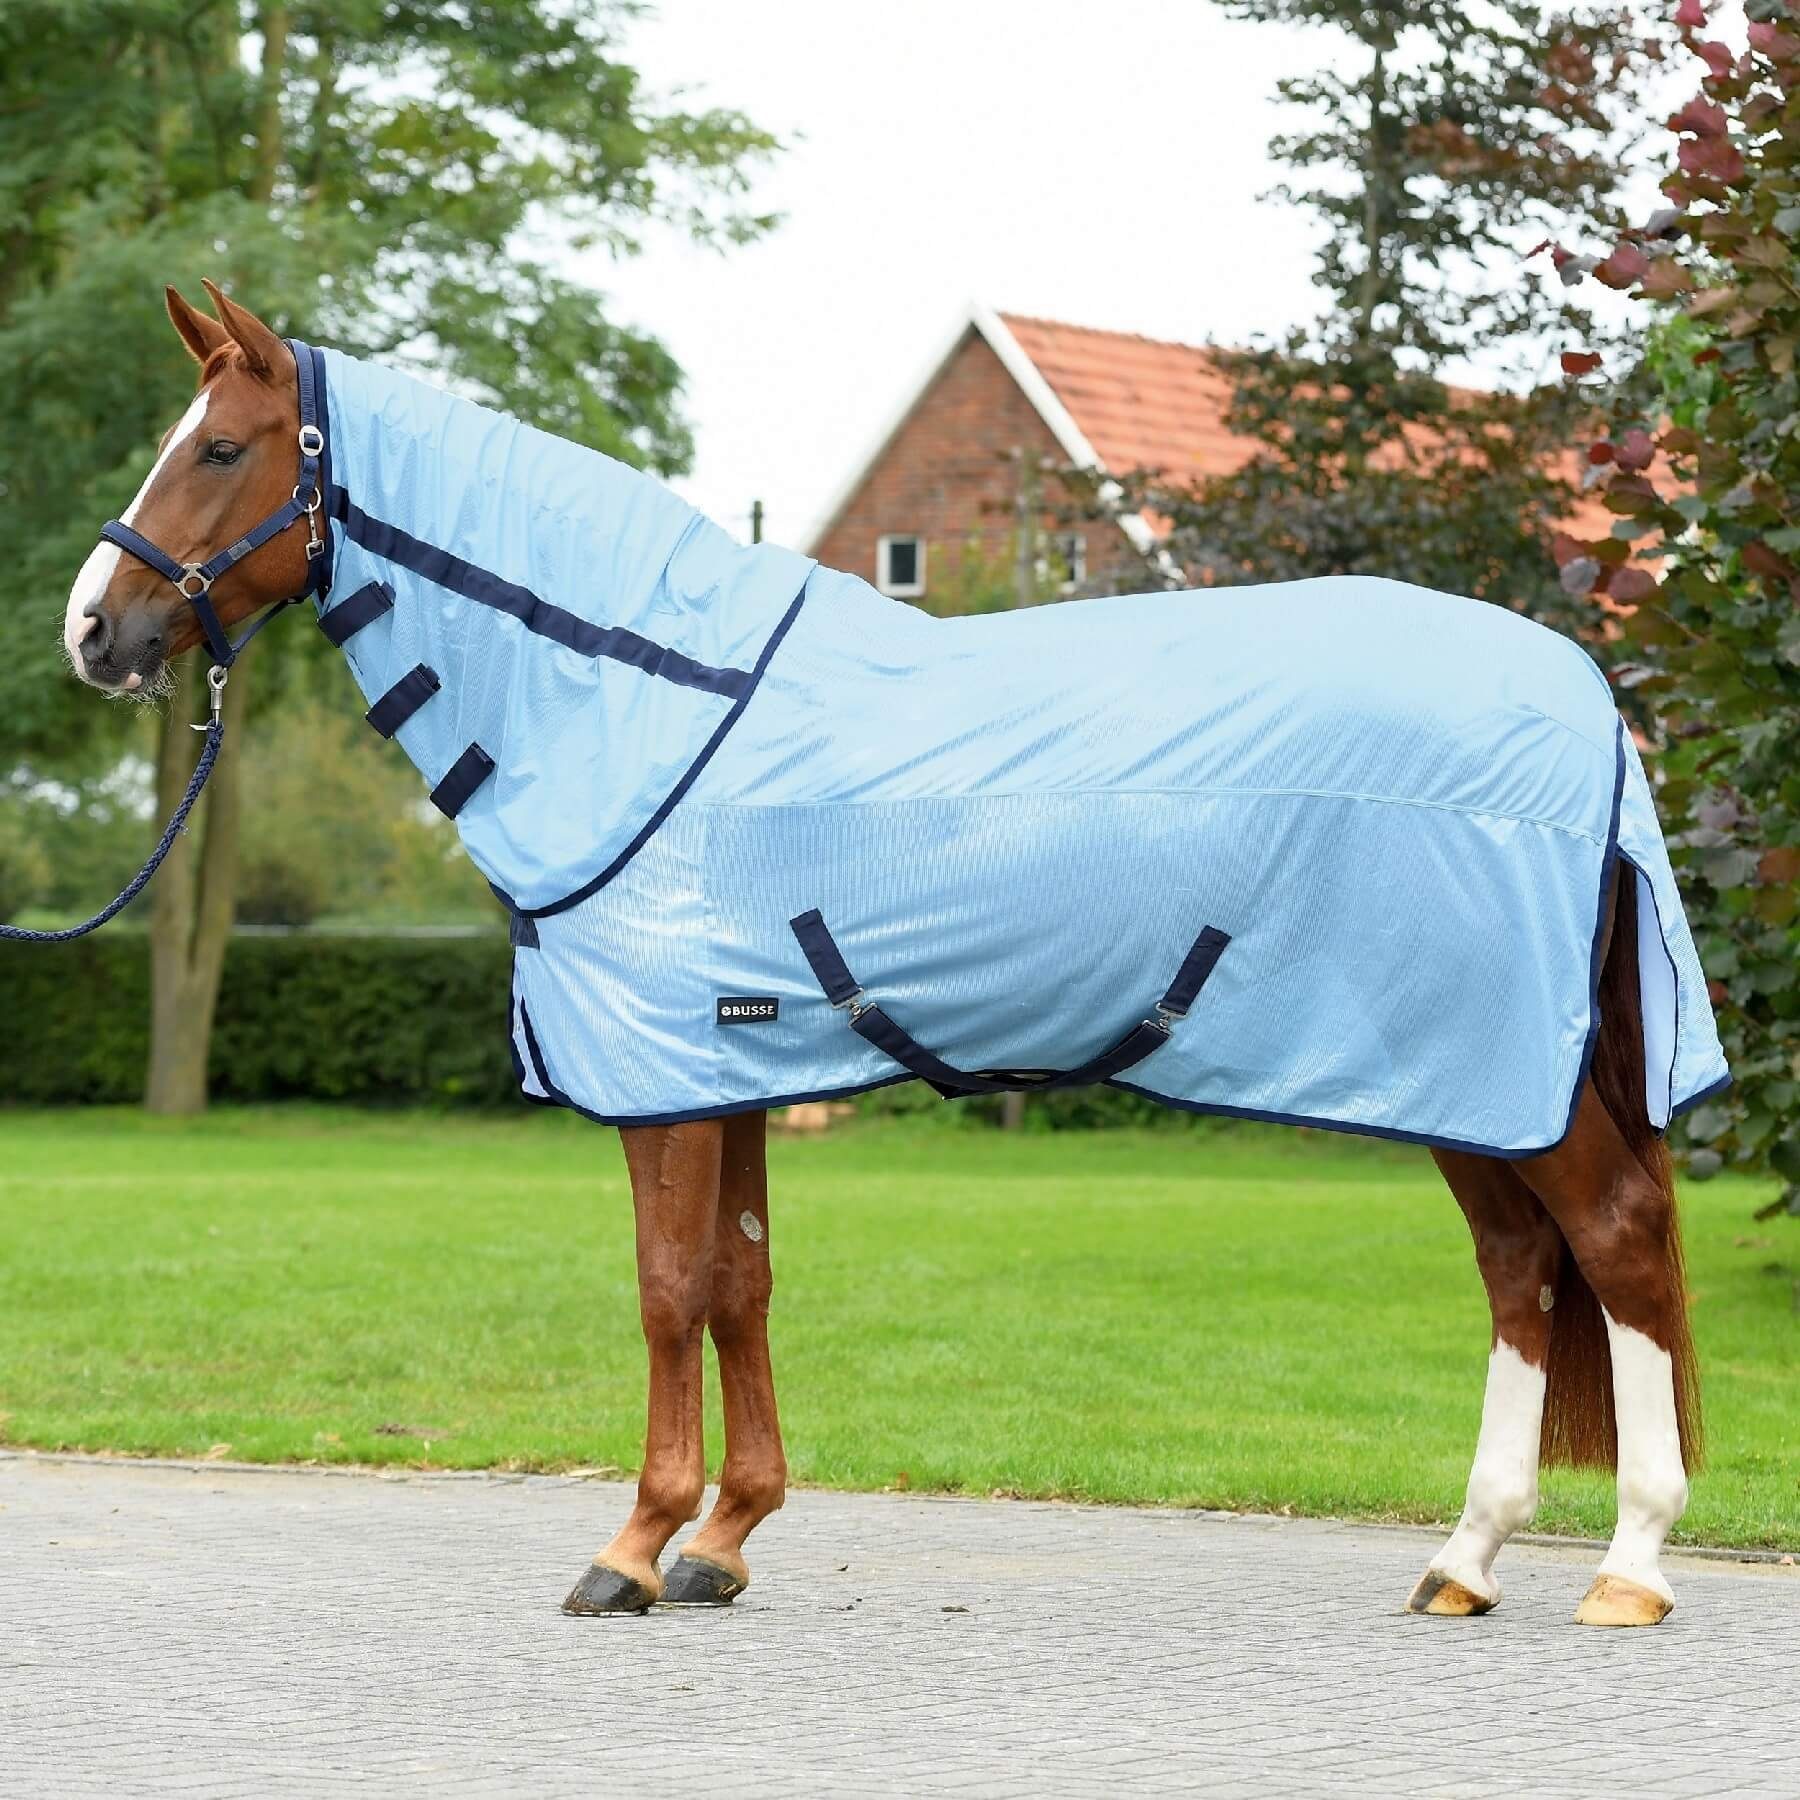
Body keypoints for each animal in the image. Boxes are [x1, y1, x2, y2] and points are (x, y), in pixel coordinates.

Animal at [60, 280, 1721, 1628]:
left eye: (221, 450)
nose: (92, 629)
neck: (648, 703)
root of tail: (1585, 696)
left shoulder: (668, 1074)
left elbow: (668, 1286)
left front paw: (635, 1545)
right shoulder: (732, 1065)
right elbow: (742, 1281)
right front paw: (725, 1539)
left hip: (1501, 1069)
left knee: (1616, 1237)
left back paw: (1631, 1566)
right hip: (1456, 1075)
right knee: (1522, 1268)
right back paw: (1467, 1560)